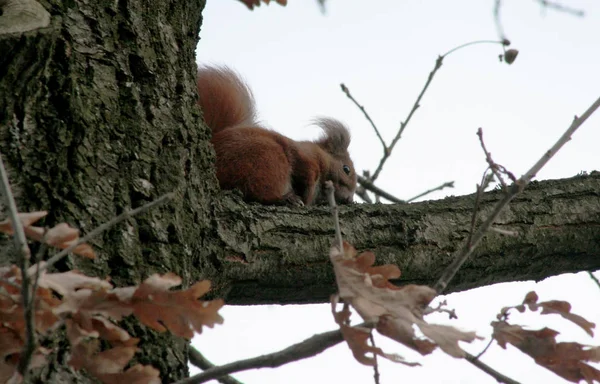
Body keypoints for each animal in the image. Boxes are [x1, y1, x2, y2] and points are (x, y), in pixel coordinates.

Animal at [197, 66, 356, 206]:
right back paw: (287, 199)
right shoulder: (305, 156)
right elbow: (306, 172)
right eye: (346, 169)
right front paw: (307, 196)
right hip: (266, 160)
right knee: (259, 190)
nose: (349, 199)